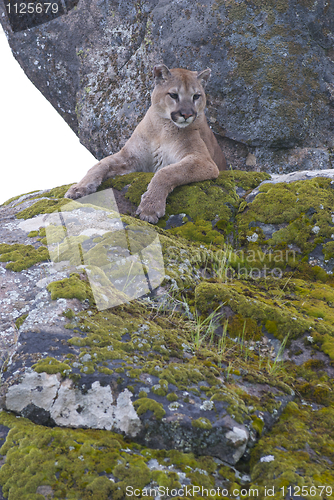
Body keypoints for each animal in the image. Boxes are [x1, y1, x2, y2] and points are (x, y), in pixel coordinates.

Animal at [64, 64, 227, 223]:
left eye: (196, 96)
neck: (162, 129)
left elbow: (165, 172)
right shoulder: (131, 156)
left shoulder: (203, 160)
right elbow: (101, 164)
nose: (187, 114)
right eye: (174, 95)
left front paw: (150, 207)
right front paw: (79, 188)